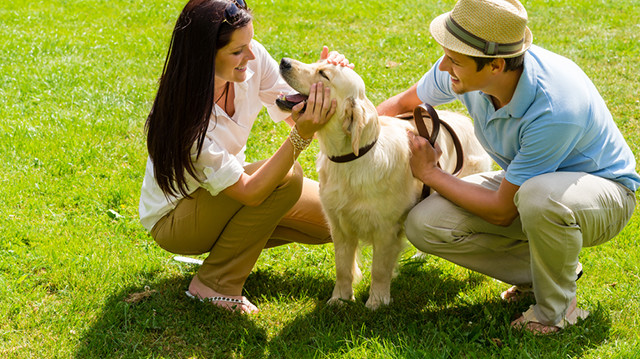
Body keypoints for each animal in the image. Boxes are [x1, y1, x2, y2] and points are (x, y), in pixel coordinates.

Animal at [276, 58, 490, 310]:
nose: (284, 61)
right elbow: (343, 268)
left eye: (323, 74)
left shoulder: (386, 230)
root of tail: (464, 119)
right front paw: (339, 299)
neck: (352, 159)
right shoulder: (339, 226)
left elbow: (378, 269)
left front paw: (376, 302)